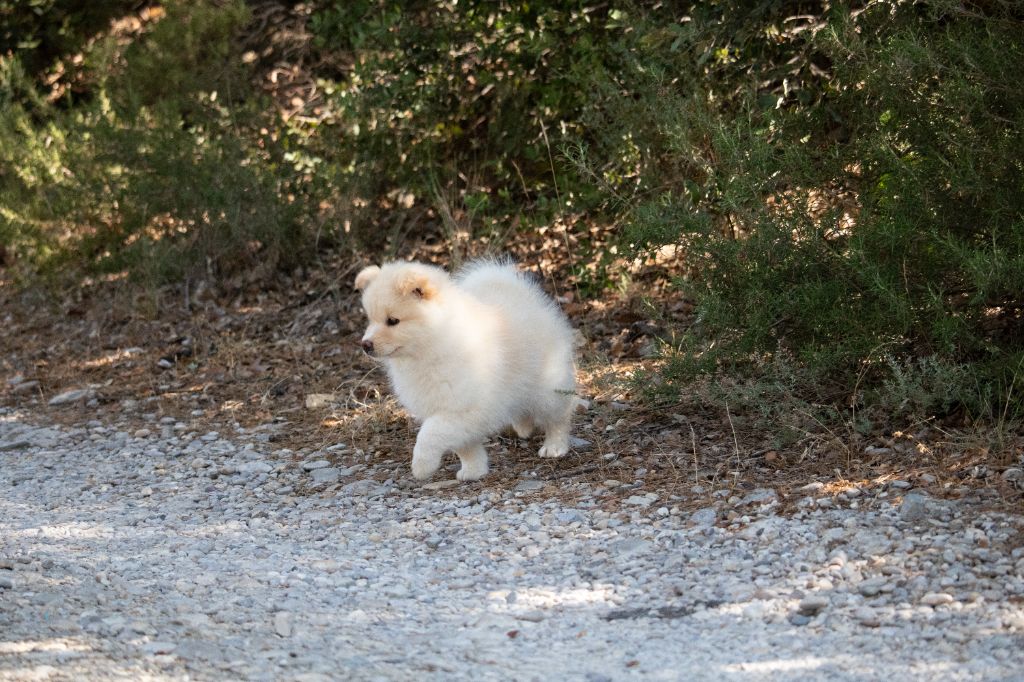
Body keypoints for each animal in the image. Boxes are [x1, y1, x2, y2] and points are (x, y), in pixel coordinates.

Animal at [354, 259, 577, 477]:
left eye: (393, 321)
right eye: (371, 320)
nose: (365, 344)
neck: (432, 347)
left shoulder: (463, 408)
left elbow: (430, 432)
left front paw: (422, 465)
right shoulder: (448, 410)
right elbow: (464, 447)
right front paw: (473, 470)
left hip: (547, 388)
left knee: (559, 416)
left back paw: (555, 447)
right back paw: (524, 426)